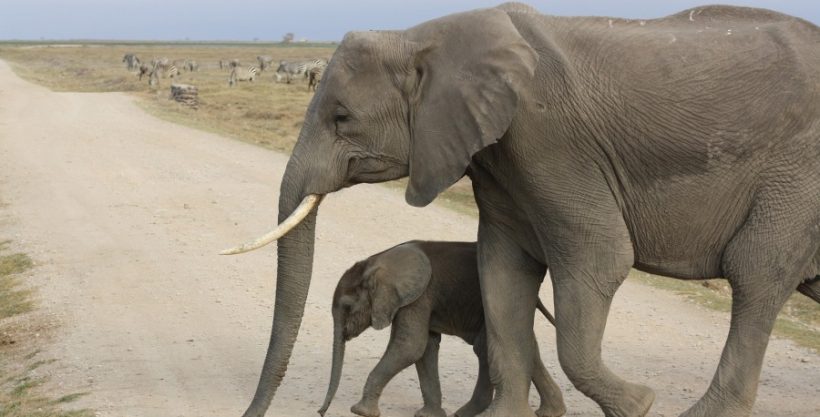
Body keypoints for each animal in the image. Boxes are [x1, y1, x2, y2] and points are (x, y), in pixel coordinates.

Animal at [318, 240, 564, 416]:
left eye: (347, 306)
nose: (321, 412)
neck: (376, 261)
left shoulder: (419, 296)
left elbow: (410, 347)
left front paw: (360, 412)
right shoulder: (417, 299)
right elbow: (425, 347)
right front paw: (428, 415)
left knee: (485, 348)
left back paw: (466, 414)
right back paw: (552, 412)